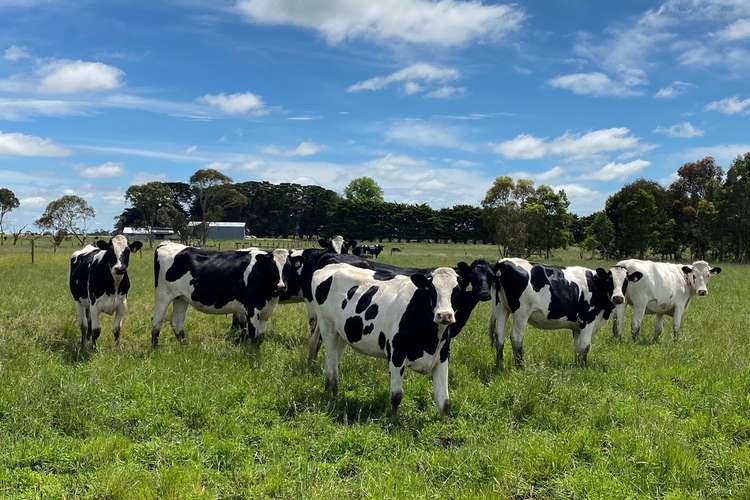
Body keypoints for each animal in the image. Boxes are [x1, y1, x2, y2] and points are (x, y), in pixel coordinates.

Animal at [151, 243, 292, 346]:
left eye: (288, 267)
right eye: (272, 267)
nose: (281, 287)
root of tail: (166, 244)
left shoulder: (266, 312)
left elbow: (260, 337)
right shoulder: (251, 308)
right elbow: (252, 335)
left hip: (181, 298)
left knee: (177, 321)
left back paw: (184, 346)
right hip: (163, 295)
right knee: (157, 319)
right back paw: (155, 348)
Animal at [490, 258, 620, 368]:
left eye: (624, 282)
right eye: (609, 281)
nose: (618, 298)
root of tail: (503, 262)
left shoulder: (577, 326)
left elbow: (578, 348)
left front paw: (577, 366)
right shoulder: (588, 320)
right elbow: (585, 346)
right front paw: (583, 368)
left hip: (500, 308)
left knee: (499, 336)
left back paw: (499, 366)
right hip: (521, 313)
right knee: (516, 337)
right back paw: (520, 367)